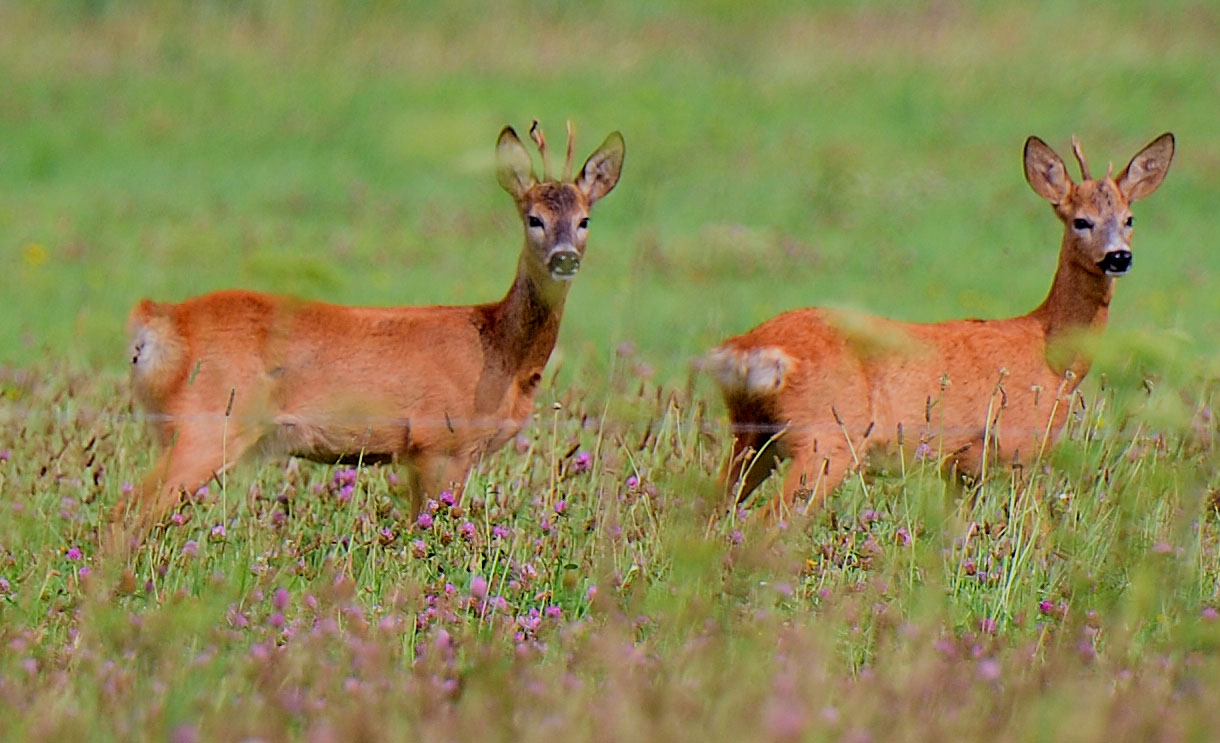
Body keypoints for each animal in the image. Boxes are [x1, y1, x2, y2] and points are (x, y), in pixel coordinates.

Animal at [114, 120, 624, 527]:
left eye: (585, 220)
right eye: (534, 218)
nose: (564, 258)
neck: (500, 351)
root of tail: (157, 321)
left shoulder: (421, 455)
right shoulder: (439, 442)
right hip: (205, 423)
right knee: (127, 511)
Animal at [707, 132, 1171, 514]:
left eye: (1129, 219)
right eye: (1080, 221)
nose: (1118, 257)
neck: (1051, 355)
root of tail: (747, 349)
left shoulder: (961, 467)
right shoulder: (1021, 448)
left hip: (752, 437)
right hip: (825, 439)